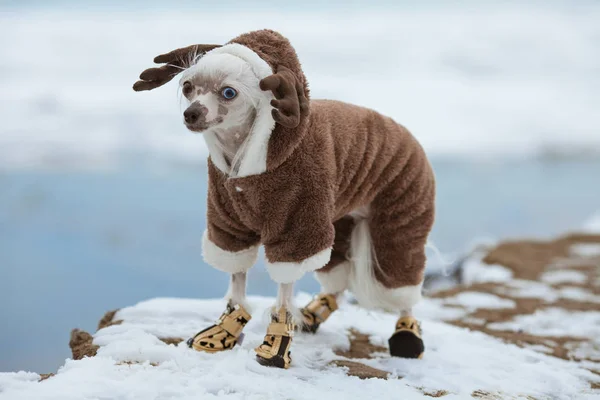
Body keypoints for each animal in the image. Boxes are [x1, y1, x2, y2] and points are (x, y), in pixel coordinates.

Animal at [135, 29, 436, 370]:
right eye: (188, 87)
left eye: (228, 92)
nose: (192, 113)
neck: (245, 161)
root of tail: (410, 136)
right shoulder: (230, 225)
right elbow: (237, 278)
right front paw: (225, 330)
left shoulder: (296, 228)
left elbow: (283, 289)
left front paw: (276, 346)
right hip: (339, 221)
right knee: (338, 279)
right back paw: (312, 314)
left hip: (399, 218)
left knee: (401, 283)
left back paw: (407, 335)